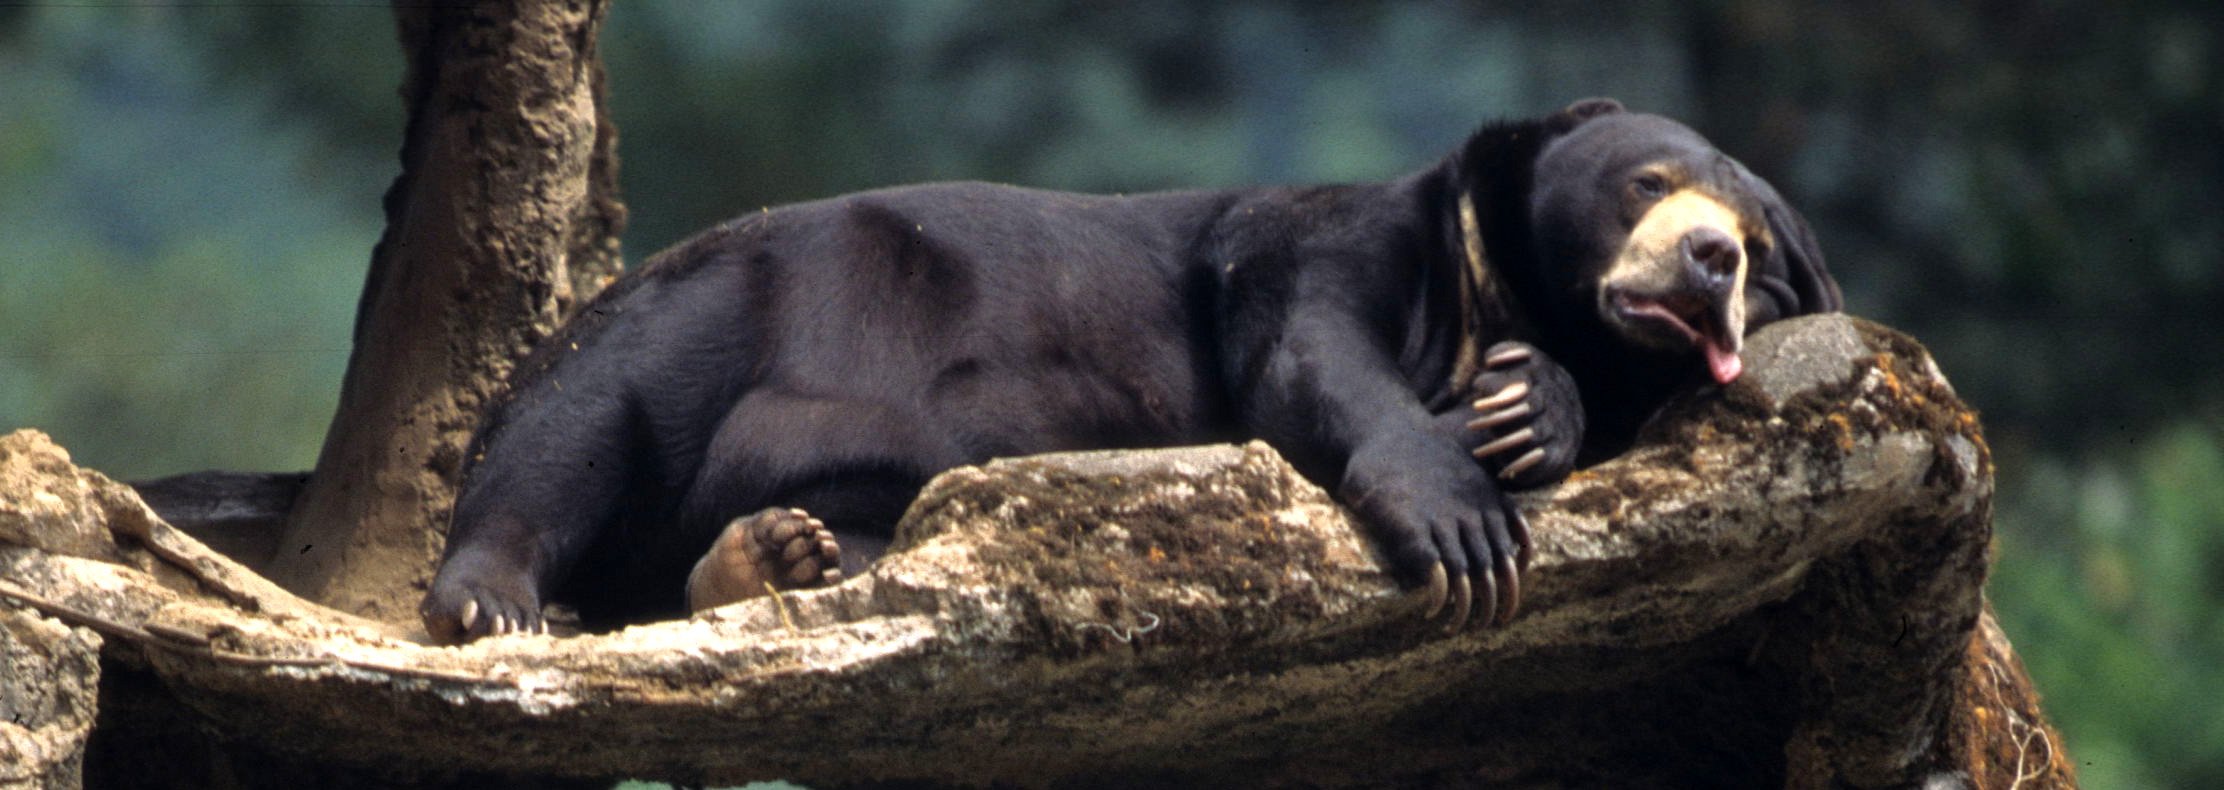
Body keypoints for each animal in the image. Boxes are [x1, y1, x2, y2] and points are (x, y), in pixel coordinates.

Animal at [420, 98, 1840, 643]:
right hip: (705, 307)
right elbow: (1302, 350)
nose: (1709, 255)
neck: (1480, 281)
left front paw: (1521, 410)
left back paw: (768, 555)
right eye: (1647, 183)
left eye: (1763, 242)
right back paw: (492, 601)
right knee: (576, 429)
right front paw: (1465, 526)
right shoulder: (1315, 237)